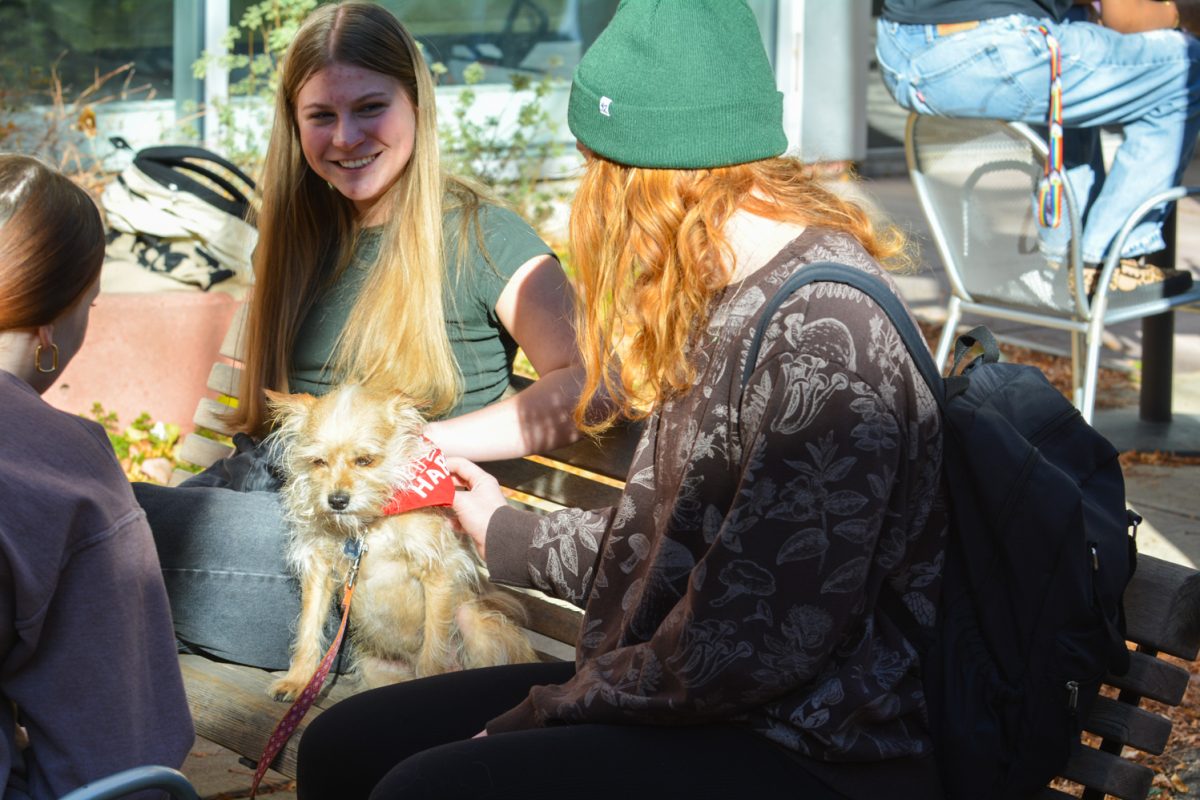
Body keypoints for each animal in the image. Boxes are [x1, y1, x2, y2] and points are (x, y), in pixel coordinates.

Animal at [270, 383, 542, 700]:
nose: (337, 500)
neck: (369, 526)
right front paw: (298, 680)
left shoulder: (437, 572)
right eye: (318, 462)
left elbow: (433, 646)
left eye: (365, 460)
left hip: (473, 622)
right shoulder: (318, 570)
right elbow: (308, 629)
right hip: (375, 671)